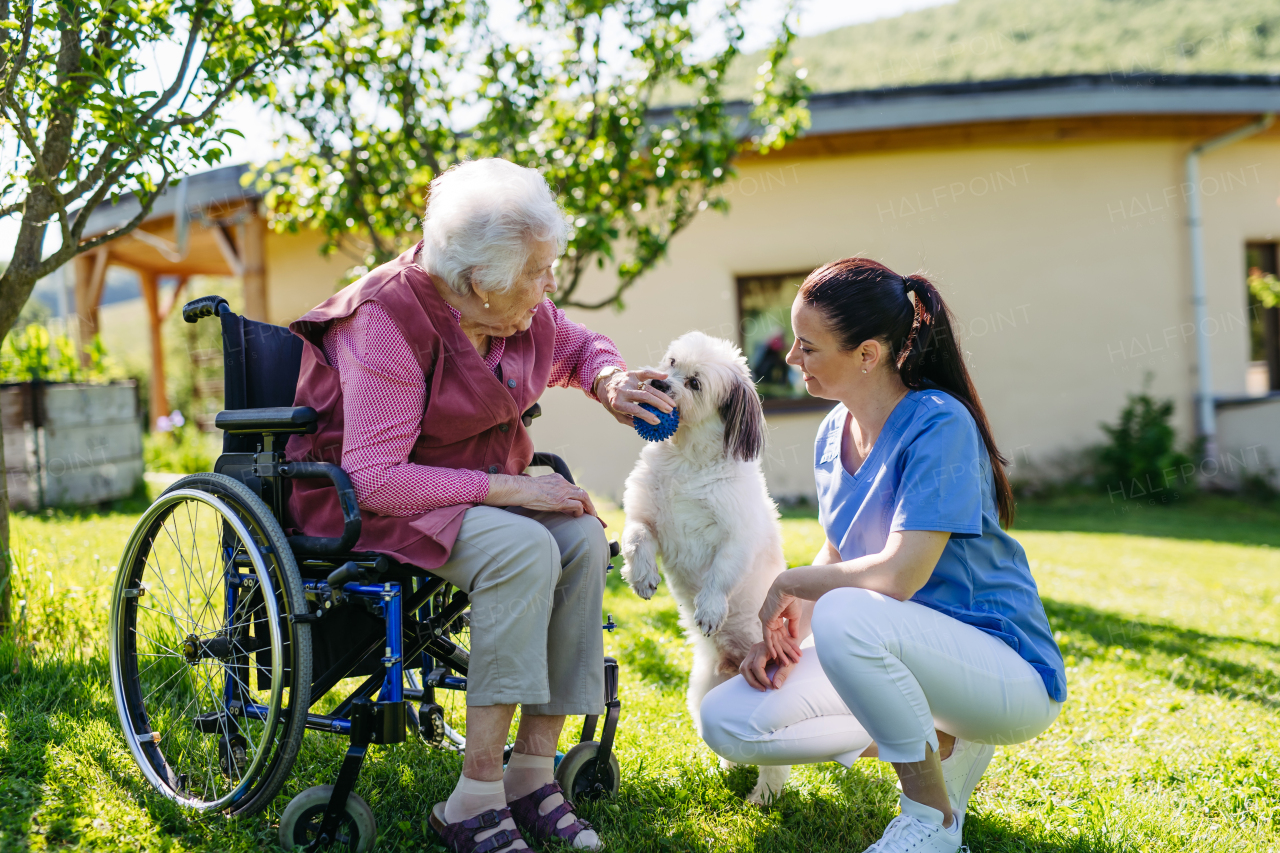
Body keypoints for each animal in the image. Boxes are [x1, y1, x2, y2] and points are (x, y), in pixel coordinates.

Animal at [619, 330, 788, 804]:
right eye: (670, 363)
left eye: (694, 383)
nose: (659, 384)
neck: (688, 457)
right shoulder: (647, 519)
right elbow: (636, 539)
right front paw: (642, 578)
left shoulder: (735, 541)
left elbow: (718, 577)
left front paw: (710, 610)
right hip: (704, 693)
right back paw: (727, 769)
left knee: (776, 762)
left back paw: (763, 797)